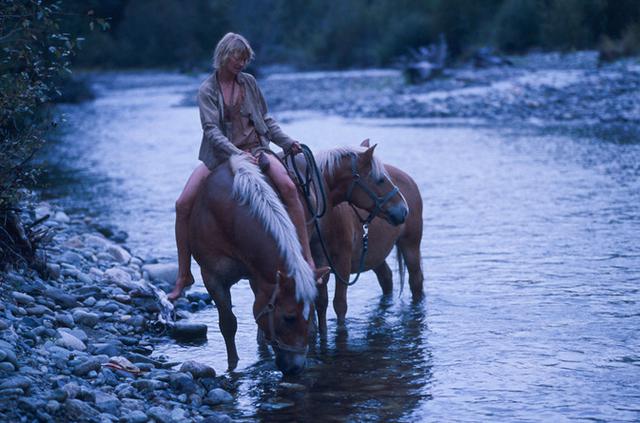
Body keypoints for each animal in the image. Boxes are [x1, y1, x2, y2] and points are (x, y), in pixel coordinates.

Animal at [190, 145, 410, 374]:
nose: (404, 209)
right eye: (380, 180)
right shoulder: (213, 277)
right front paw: (233, 366)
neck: (230, 213)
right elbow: (229, 324)